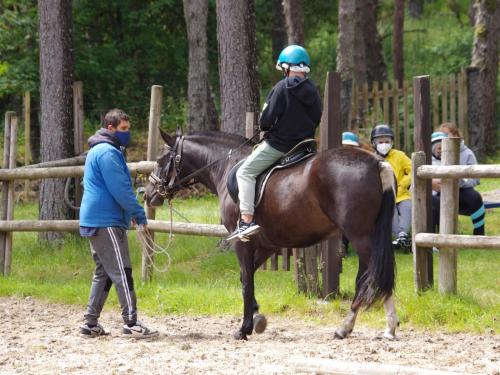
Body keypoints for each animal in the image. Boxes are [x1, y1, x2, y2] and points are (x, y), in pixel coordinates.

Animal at [144, 131, 398, 342]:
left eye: (161, 161)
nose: (147, 195)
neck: (226, 164)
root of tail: (376, 162)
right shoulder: (267, 246)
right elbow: (245, 278)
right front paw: (257, 317)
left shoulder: (242, 242)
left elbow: (247, 282)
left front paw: (244, 328)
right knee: (374, 276)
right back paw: (373, 327)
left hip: (360, 236)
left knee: (374, 275)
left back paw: (362, 326)